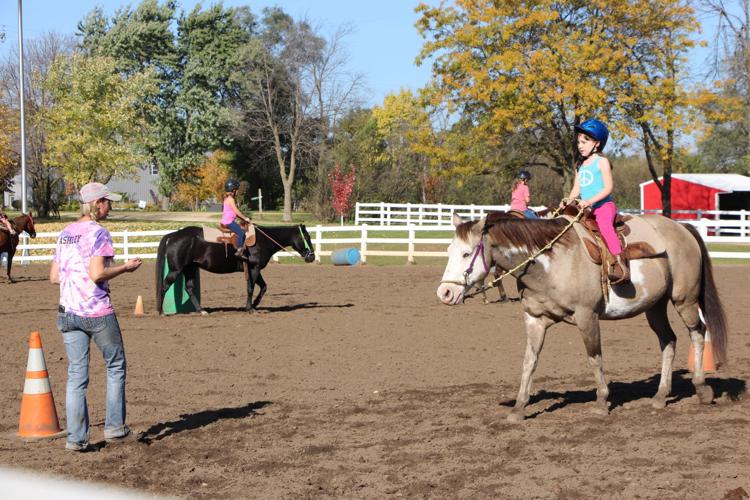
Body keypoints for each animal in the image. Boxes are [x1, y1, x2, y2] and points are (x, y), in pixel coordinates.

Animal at [438, 212, 732, 422]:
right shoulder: (534, 318)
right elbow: (529, 362)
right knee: (668, 341)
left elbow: (594, 358)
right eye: (449, 252)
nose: (445, 293)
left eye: (466, 253)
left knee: (697, 333)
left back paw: (702, 388)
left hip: (685, 299)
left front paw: (601, 403)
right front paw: (519, 408)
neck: (549, 263)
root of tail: (682, 228)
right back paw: (660, 396)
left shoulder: (586, 315)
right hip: (655, 306)